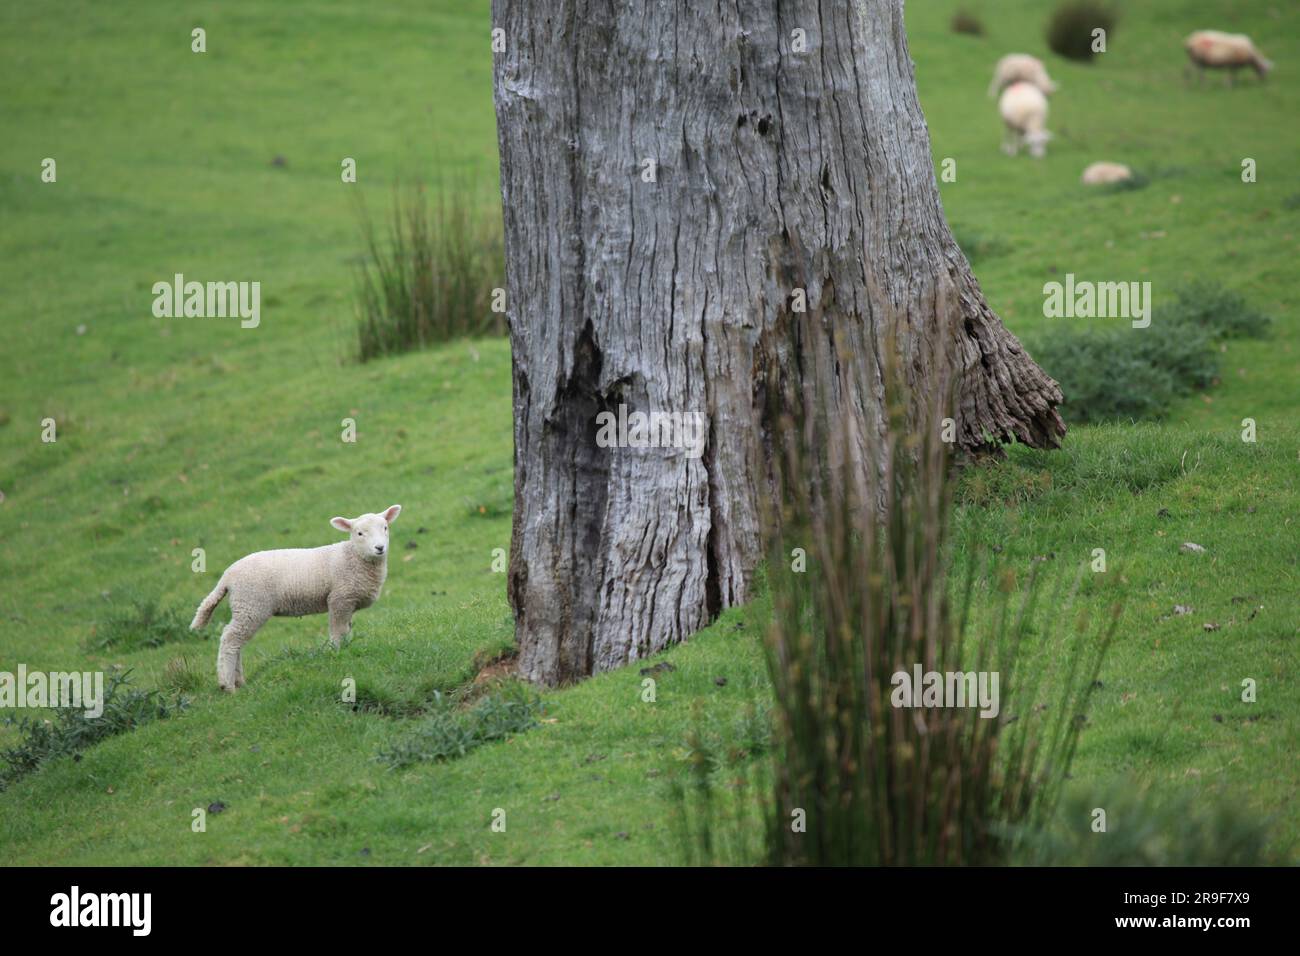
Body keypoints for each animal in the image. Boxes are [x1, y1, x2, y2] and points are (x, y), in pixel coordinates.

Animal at [190, 505, 402, 691]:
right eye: (359, 533)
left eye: (385, 527)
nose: (379, 547)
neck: (353, 557)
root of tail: (227, 576)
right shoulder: (339, 599)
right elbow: (338, 631)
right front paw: (338, 652)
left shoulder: (349, 602)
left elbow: (347, 630)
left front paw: (348, 648)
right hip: (251, 605)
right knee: (230, 639)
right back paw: (227, 685)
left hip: (246, 607)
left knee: (237, 643)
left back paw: (239, 682)